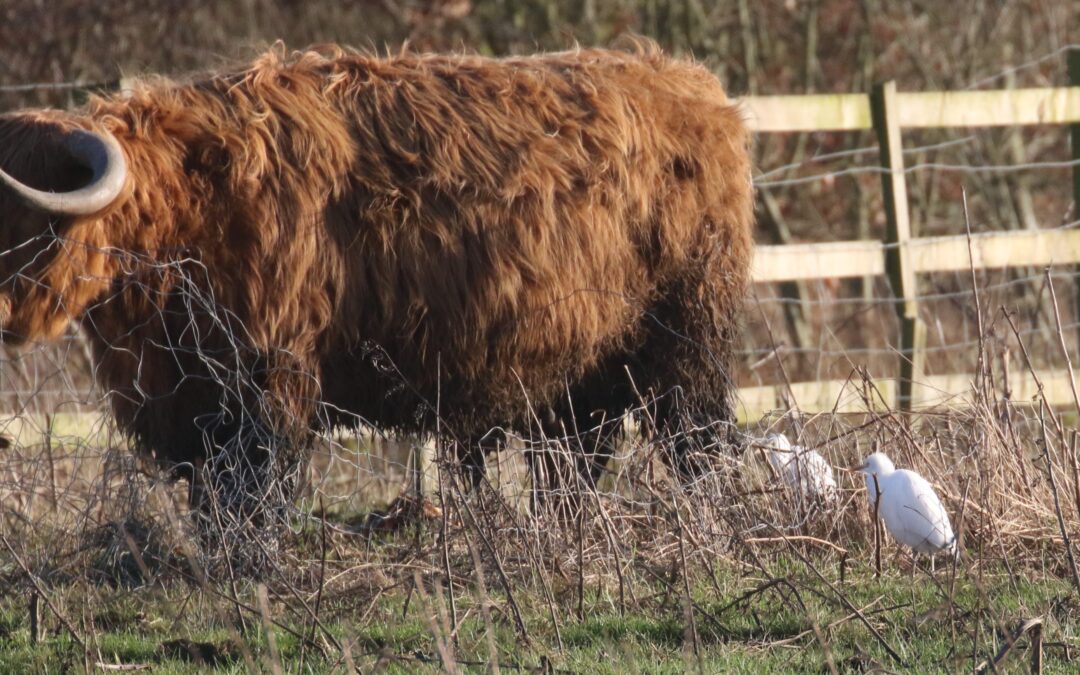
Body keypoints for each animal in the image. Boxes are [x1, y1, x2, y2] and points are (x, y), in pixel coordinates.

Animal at [0, 41, 753, 549]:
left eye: (27, 220)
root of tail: (693, 87)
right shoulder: (187, 395)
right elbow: (209, 495)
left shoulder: (269, 379)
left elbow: (253, 489)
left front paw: (252, 565)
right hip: (577, 366)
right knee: (574, 456)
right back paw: (559, 533)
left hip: (688, 343)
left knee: (698, 444)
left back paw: (715, 529)